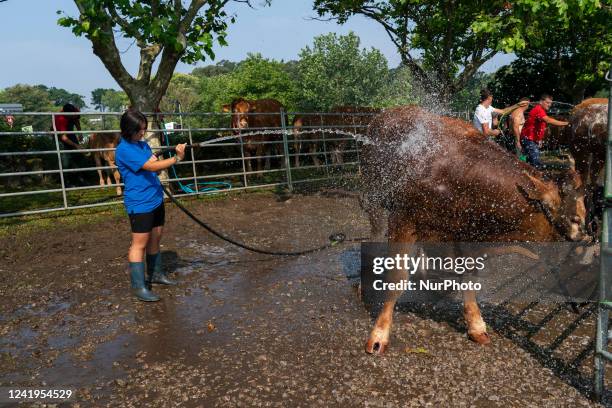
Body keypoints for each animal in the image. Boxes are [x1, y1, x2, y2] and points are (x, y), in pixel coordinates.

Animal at [360, 106, 592, 354]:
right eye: (575, 219)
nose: (587, 241)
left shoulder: (466, 234)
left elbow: (469, 277)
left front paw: (476, 324)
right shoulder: (404, 219)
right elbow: (397, 278)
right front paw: (379, 333)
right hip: (373, 196)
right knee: (376, 229)